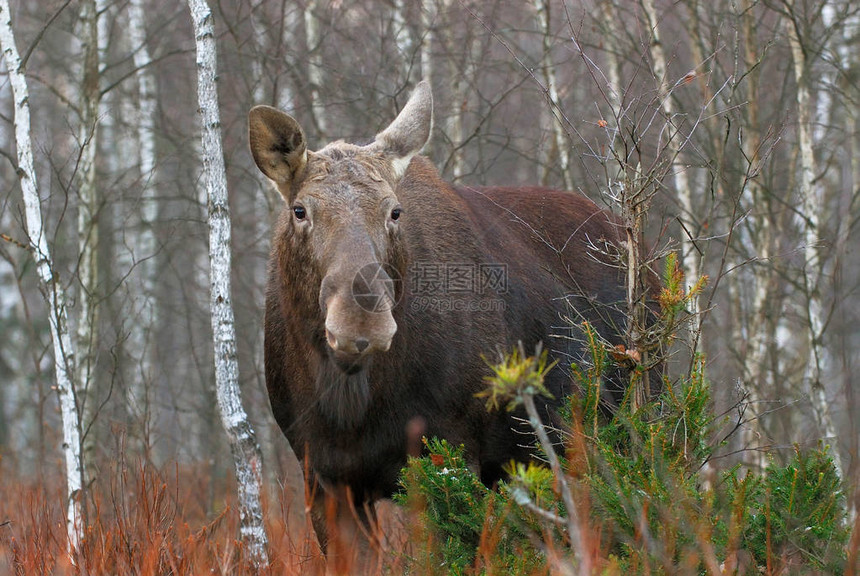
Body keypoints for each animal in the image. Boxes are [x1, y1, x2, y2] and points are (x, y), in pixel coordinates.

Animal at [249, 83, 640, 560]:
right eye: (300, 210)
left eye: (395, 212)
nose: (361, 322)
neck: (353, 404)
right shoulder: (326, 479)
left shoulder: (450, 455)